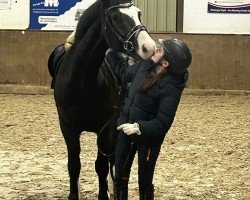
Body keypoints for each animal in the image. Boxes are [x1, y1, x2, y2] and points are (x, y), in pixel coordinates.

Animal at [49, 0, 155, 199]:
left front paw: (104, 194)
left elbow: (101, 166)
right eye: (116, 17)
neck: (82, 82)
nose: (150, 48)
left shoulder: (106, 129)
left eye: (138, 14)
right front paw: (74, 194)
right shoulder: (67, 127)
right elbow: (74, 165)